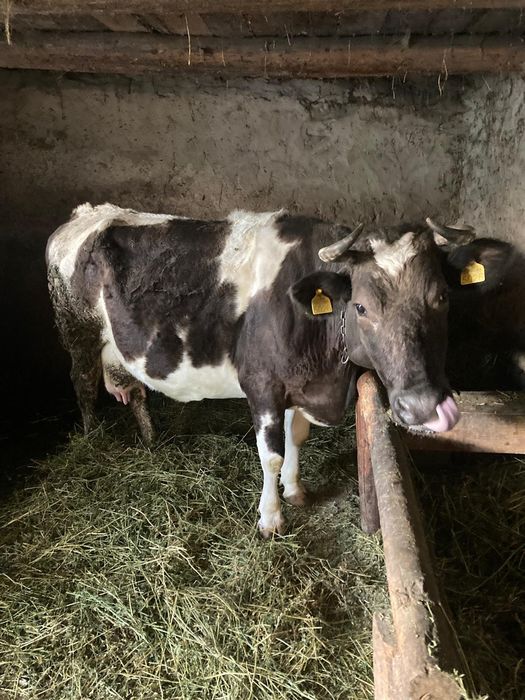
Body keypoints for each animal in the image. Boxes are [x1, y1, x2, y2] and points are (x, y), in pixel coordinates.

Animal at [47, 203, 480, 537]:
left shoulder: (297, 384)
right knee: (83, 386)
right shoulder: (262, 385)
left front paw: (295, 488)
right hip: (76, 331)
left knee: (134, 391)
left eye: (443, 297)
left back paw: (151, 438)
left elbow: (296, 437)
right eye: (361, 306)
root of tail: (86, 213)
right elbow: (270, 454)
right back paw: (93, 440)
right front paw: (271, 518)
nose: (424, 406)